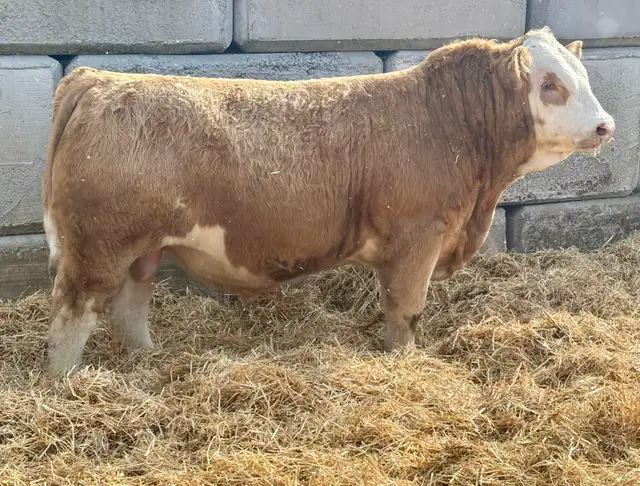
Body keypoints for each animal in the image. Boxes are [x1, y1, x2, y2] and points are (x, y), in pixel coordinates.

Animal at [42, 27, 614, 376]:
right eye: (550, 84)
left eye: (584, 78)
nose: (605, 125)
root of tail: (98, 79)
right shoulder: (418, 236)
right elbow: (405, 311)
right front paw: (405, 364)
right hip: (98, 248)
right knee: (73, 315)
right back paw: (66, 383)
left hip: (143, 248)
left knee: (129, 306)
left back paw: (148, 358)